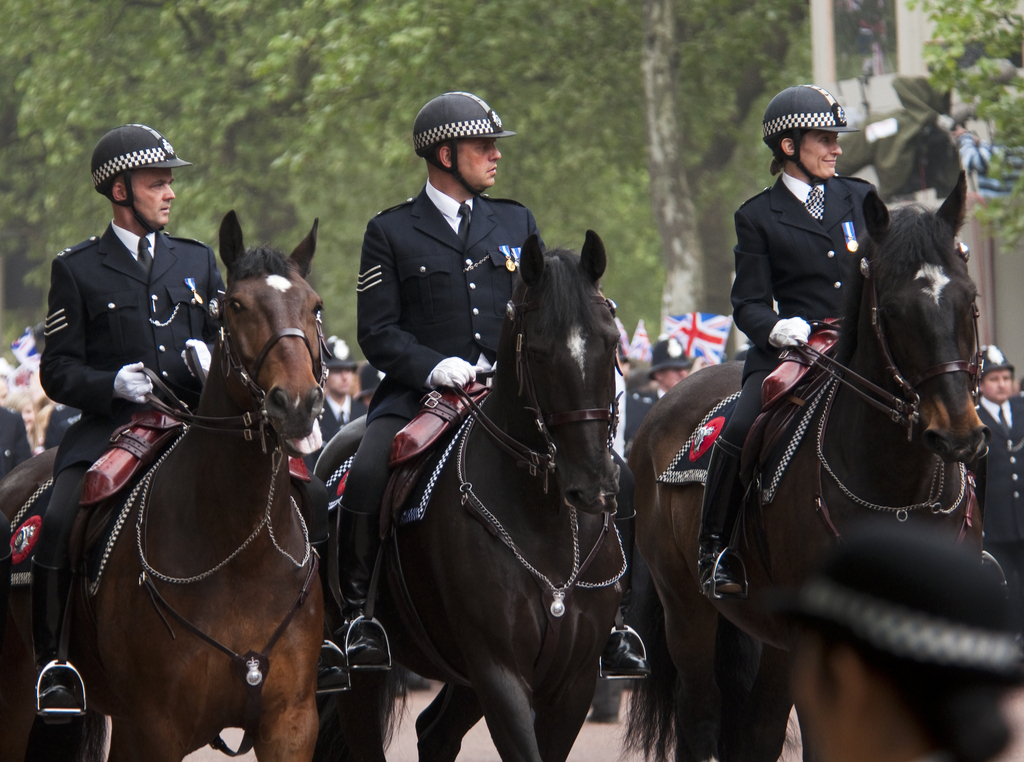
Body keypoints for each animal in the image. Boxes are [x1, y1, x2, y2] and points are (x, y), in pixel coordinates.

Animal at [0, 209, 325, 762]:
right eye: (235, 305)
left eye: (314, 305)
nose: (298, 404)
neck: (242, 551)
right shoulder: (152, 730)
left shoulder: (291, 724)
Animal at [317, 232, 622, 762]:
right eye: (538, 352)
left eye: (610, 343)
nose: (592, 488)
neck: (544, 519)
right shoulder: (498, 670)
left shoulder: (573, 681)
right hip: (362, 674)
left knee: (434, 732)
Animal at [622, 174, 983, 762]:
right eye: (894, 310)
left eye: (969, 300)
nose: (959, 435)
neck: (896, 494)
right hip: (688, 609)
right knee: (700, 714)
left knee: (759, 731)